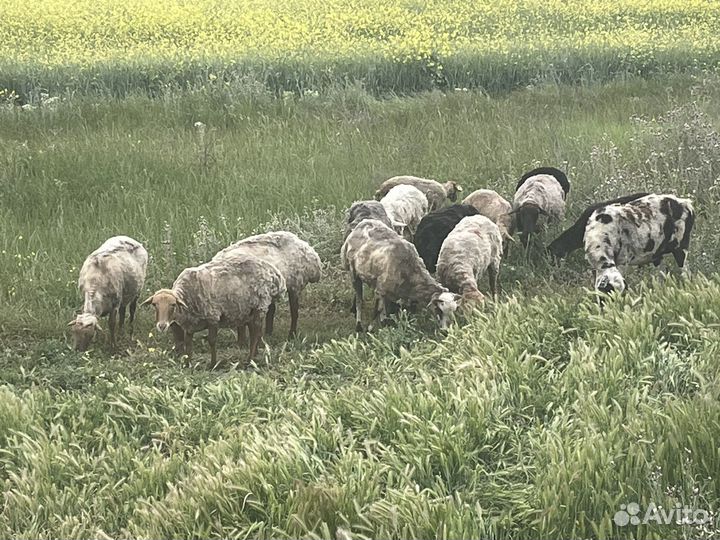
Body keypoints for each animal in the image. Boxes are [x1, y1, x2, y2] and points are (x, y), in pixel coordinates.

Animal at [142, 252, 286, 362]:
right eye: (154, 304)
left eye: (173, 304)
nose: (162, 326)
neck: (187, 296)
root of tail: (275, 274)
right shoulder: (190, 325)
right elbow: (188, 343)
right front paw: (188, 364)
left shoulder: (213, 317)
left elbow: (211, 341)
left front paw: (213, 363)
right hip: (249, 310)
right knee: (254, 332)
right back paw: (254, 355)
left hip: (259, 306)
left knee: (256, 334)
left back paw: (249, 360)